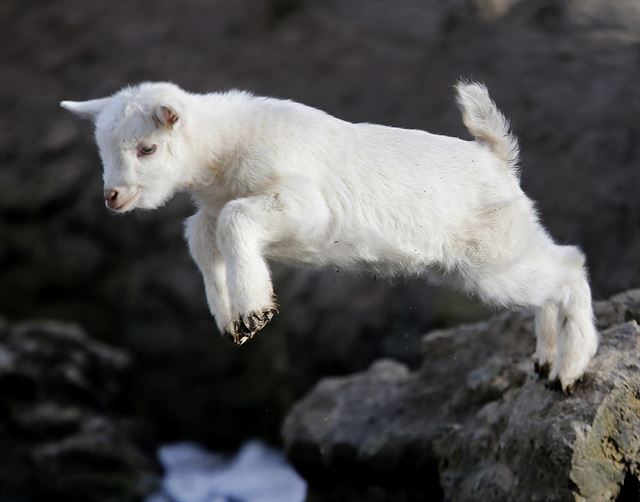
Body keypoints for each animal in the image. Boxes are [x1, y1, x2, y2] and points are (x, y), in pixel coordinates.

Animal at [62, 80, 596, 392]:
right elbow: (201, 239)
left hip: (496, 254)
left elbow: (236, 221)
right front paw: (232, 318)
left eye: (147, 149)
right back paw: (547, 360)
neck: (222, 155)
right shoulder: (209, 214)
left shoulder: (304, 208)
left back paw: (571, 364)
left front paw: (254, 311)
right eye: (103, 148)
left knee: (569, 265)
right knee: (548, 284)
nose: (113, 197)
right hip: (484, 262)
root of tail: (497, 159)